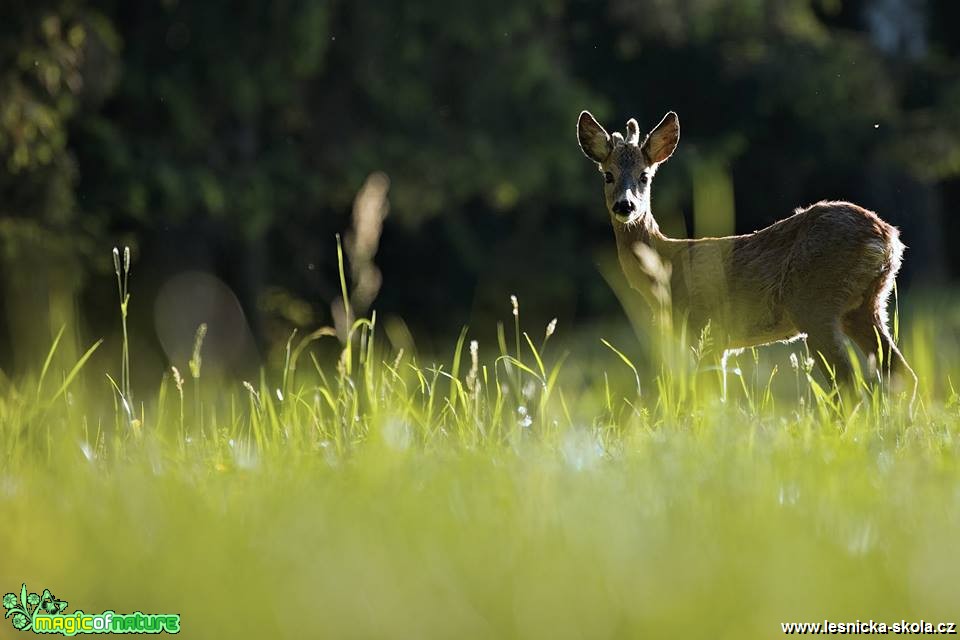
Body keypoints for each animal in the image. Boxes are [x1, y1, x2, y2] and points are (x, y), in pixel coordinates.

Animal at [572, 110, 920, 400]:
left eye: (645, 176)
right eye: (608, 175)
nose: (625, 206)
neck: (667, 266)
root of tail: (888, 237)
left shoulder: (707, 327)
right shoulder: (719, 340)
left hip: (815, 304)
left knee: (849, 386)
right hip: (865, 305)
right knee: (902, 374)